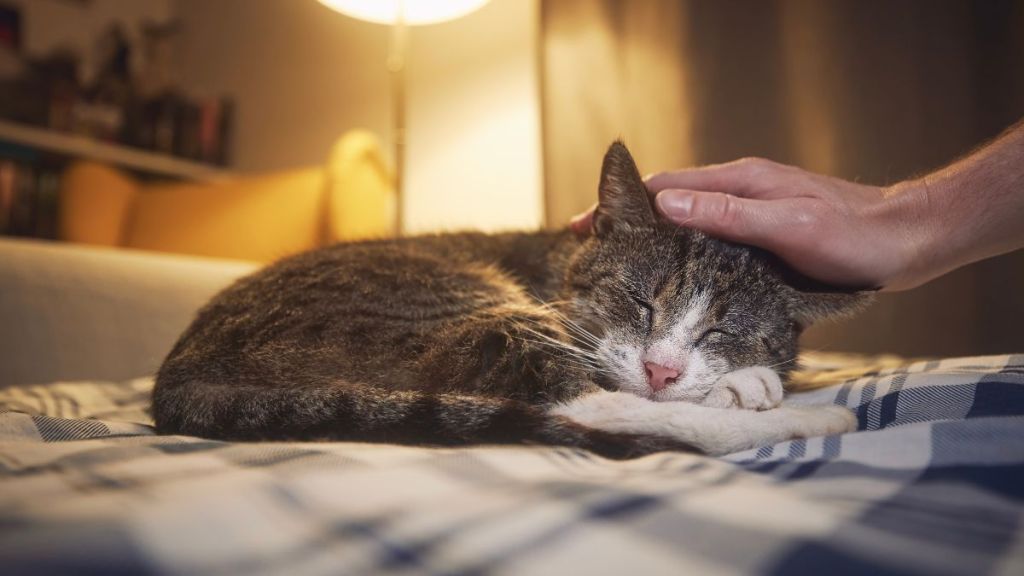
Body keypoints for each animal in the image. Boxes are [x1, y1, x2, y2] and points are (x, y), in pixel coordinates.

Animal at [151, 140, 868, 457]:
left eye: (721, 331)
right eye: (638, 302)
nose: (661, 369)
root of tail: (178, 375)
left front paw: (746, 376)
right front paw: (750, 390)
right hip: (453, 305)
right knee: (586, 406)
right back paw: (805, 418)